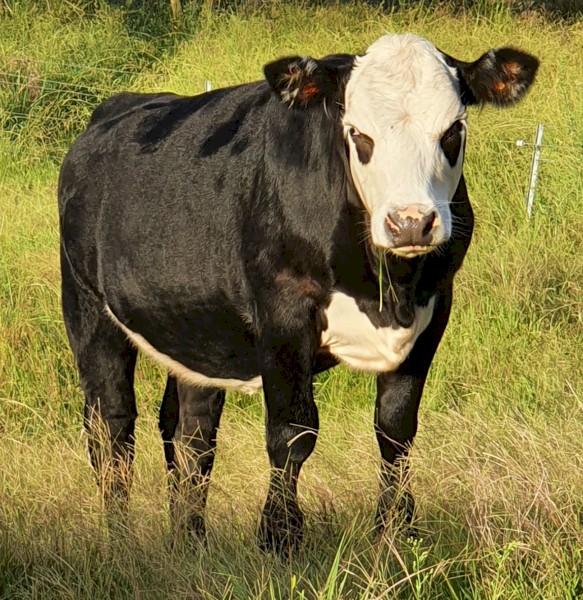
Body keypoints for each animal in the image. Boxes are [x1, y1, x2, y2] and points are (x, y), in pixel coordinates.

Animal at [59, 35, 540, 556]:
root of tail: (118, 106)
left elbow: (396, 429)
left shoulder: (434, 309)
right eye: (357, 133)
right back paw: (119, 537)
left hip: (194, 330)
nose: (411, 222)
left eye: (453, 130)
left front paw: (397, 532)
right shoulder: (283, 313)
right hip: (88, 308)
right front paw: (279, 537)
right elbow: (292, 433)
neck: (387, 289)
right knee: (111, 428)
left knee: (190, 434)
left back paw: (191, 540)